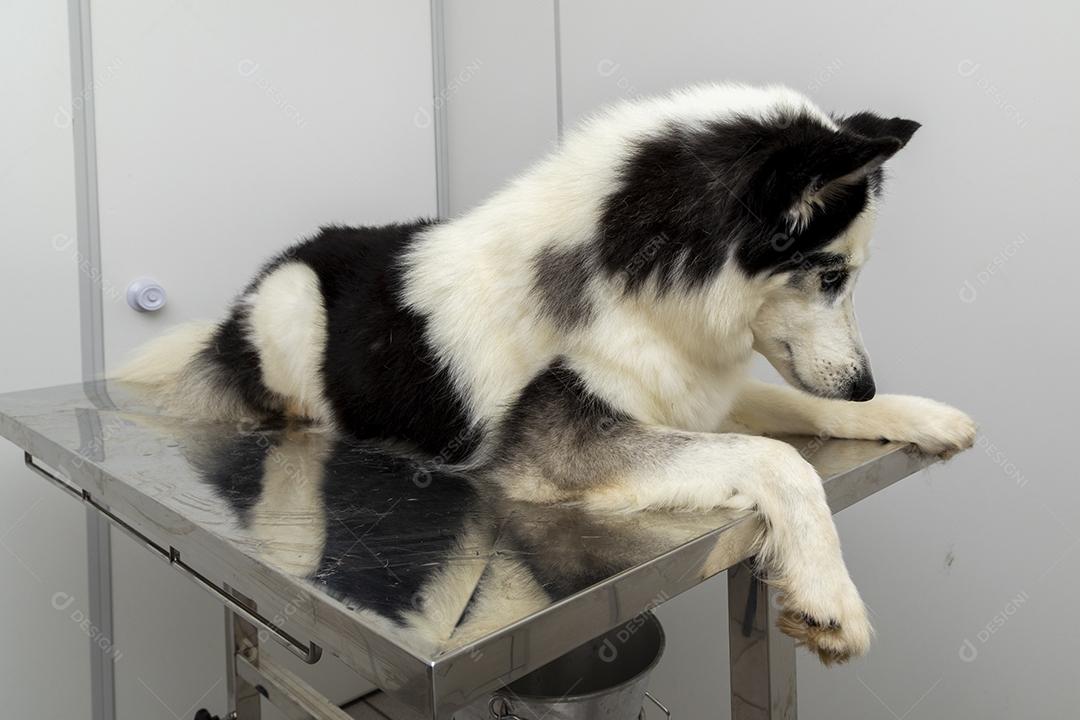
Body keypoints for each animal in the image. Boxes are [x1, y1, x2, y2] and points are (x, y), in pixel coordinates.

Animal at [120, 84, 980, 664]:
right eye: (832, 275)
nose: (863, 382)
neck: (632, 275)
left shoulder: (697, 392)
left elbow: (791, 417)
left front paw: (920, 415)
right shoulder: (560, 448)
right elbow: (780, 460)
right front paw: (829, 593)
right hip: (292, 307)